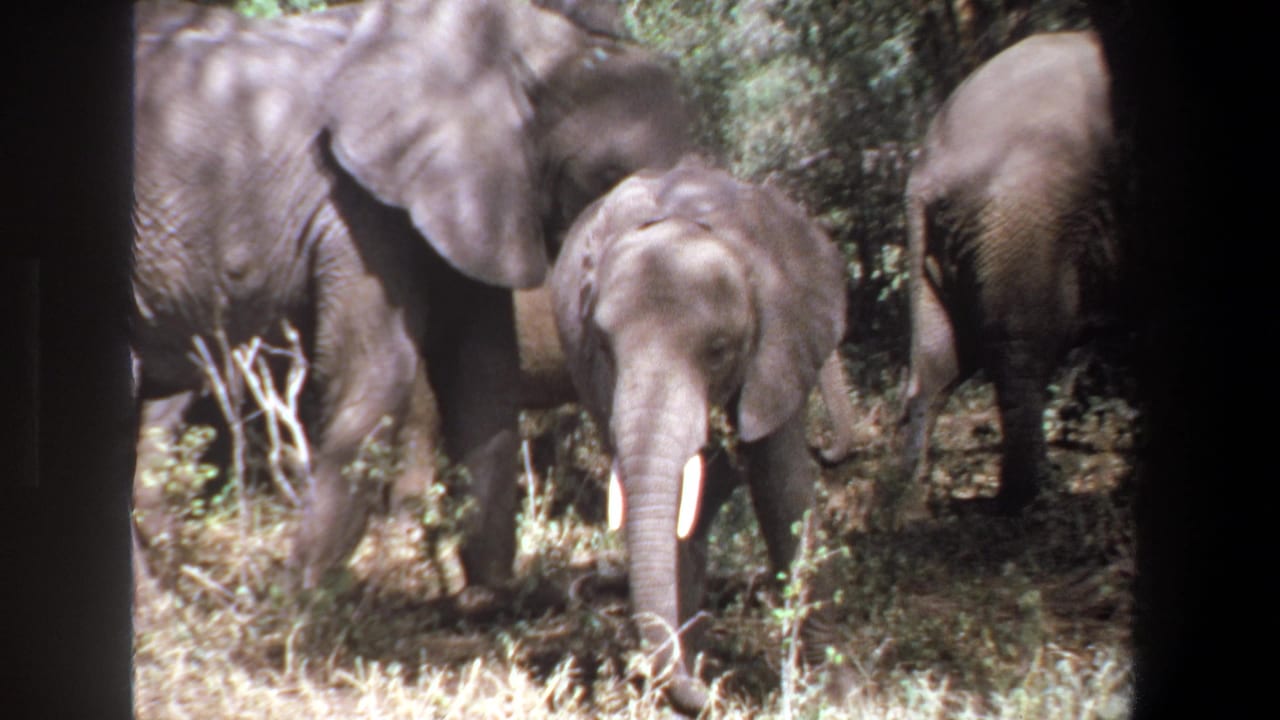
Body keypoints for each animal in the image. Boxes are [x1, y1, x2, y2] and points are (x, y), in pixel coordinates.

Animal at [131, 0, 689, 590]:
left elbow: (482, 370)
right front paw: (295, 597)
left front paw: (488, 593)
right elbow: (381, 367)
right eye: (609, 175)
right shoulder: (352, 200)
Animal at [550, 158, 851, 714]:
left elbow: (782, 490)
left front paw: (836, 694)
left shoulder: (780, 344)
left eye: (718, 350)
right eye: (603, 346)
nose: (711, 696)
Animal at [898, 30, 1118, 515]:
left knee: (939, 364)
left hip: (951, 245)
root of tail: (923, 176)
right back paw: (1035, 496)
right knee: (1024, 345)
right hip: (1026, 215)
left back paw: (907, 505)